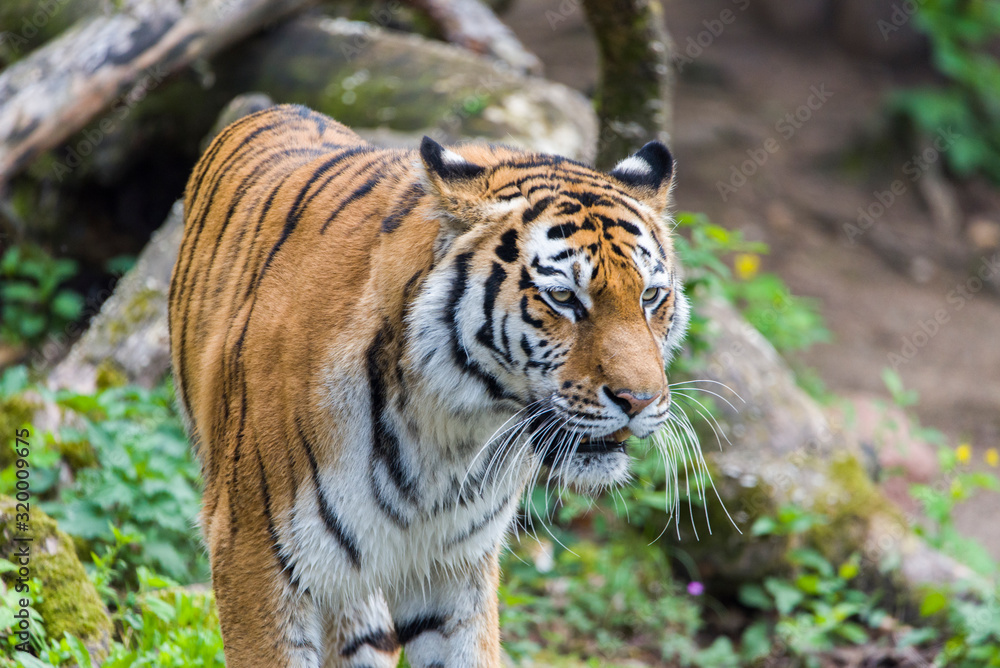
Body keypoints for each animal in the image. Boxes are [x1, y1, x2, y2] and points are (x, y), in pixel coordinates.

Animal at [168, 103, 689, 668]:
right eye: (563, 298)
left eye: (651, 296)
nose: (639, 401)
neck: (449, 430)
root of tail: (277, 108)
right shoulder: (252, 554)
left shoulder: (453, 567)